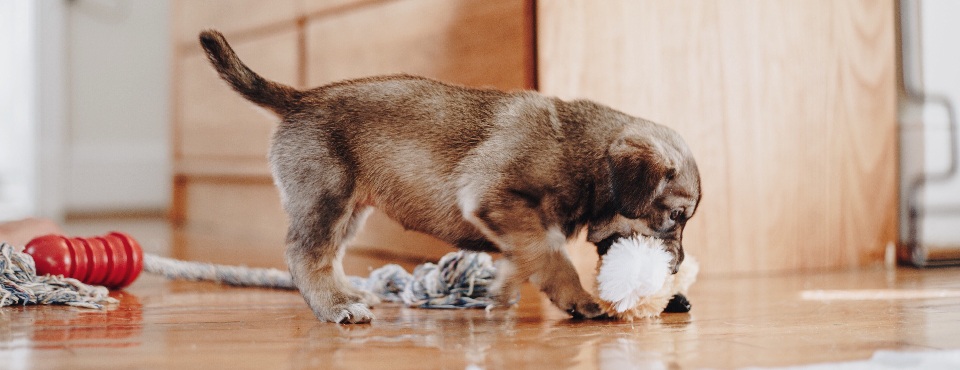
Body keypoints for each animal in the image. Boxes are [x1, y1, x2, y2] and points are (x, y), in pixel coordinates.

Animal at [199, 29, 700, 324]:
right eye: (676, 216)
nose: (676, 267)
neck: (582, 152)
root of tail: (300, 98)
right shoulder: (497, 199)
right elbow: (551, 255)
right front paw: (578, 298)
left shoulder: (512, 222)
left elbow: (524, 259)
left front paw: (500, 293)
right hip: (327, 199)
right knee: (305, 255)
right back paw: (336, 306)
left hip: (348, 211)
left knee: (329, 256)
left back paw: (348, 293)